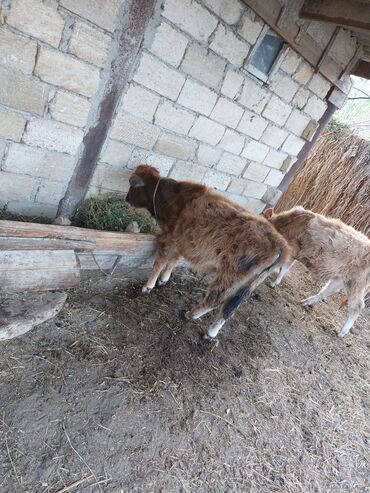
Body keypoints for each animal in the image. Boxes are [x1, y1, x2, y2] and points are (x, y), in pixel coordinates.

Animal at [127, 164, 292, 338]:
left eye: (132, 187)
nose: (126, 199)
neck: (174, 196)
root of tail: (280, 244)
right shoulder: (182, 239)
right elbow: (175, 260)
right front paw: (164, 279)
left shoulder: (170, 236)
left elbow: (161, 260)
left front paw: (148, 286)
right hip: (249, 284)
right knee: (229, 309)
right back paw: (212, 333)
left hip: (230, 277)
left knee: (216, 300)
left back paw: (191, 315)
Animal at [264, 206, 370, 336]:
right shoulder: (294, 253)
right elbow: (284, 268)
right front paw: (276, 281)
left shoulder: (290, 248)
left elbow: (281, 266)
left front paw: (272, 282)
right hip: (341, 278)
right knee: (327, 291)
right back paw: (306, 302)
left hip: (357, 284)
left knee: (357, 307)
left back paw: (342, 332)